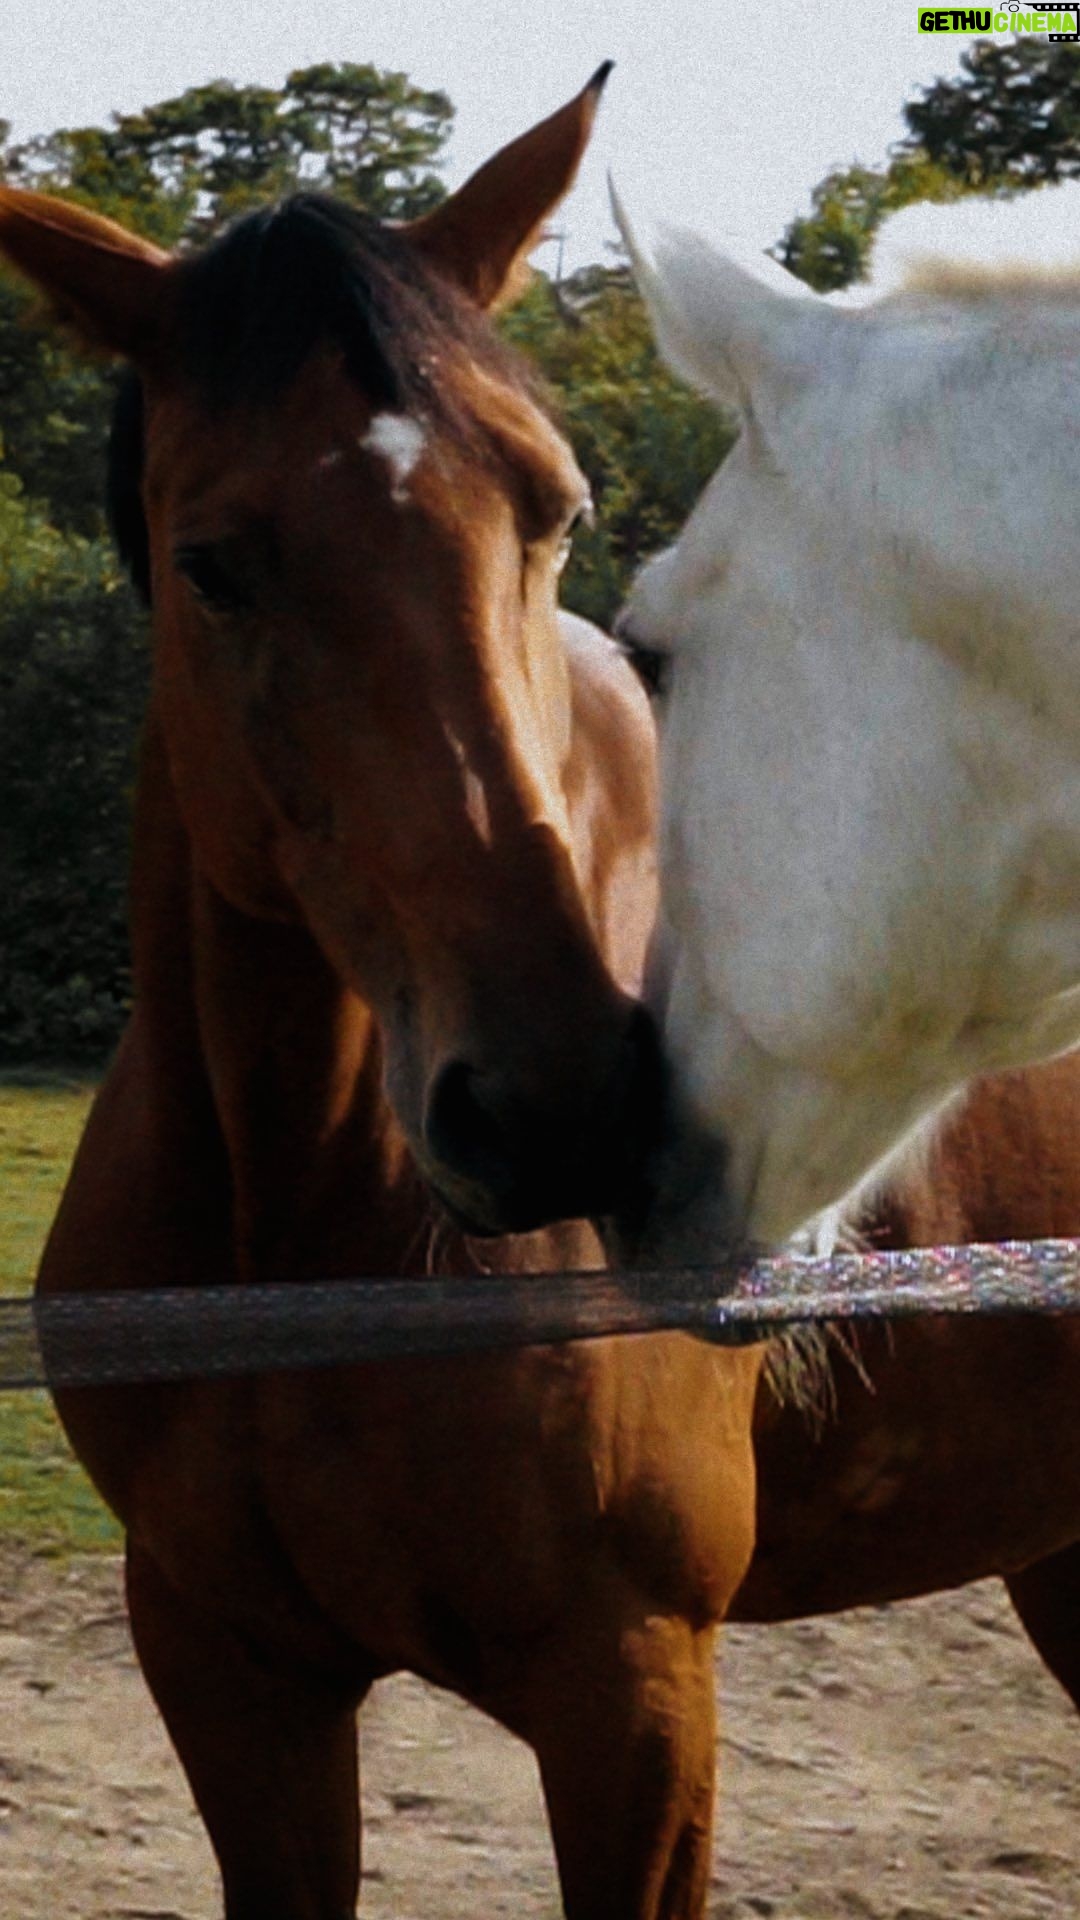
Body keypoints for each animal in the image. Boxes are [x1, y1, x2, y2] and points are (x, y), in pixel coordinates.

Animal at [0, 75, 767, 1920]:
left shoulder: (637, 1693)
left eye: (553, 507)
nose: (565, 1104)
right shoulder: (229, 1672)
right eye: (215, 562)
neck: (311, 1243)